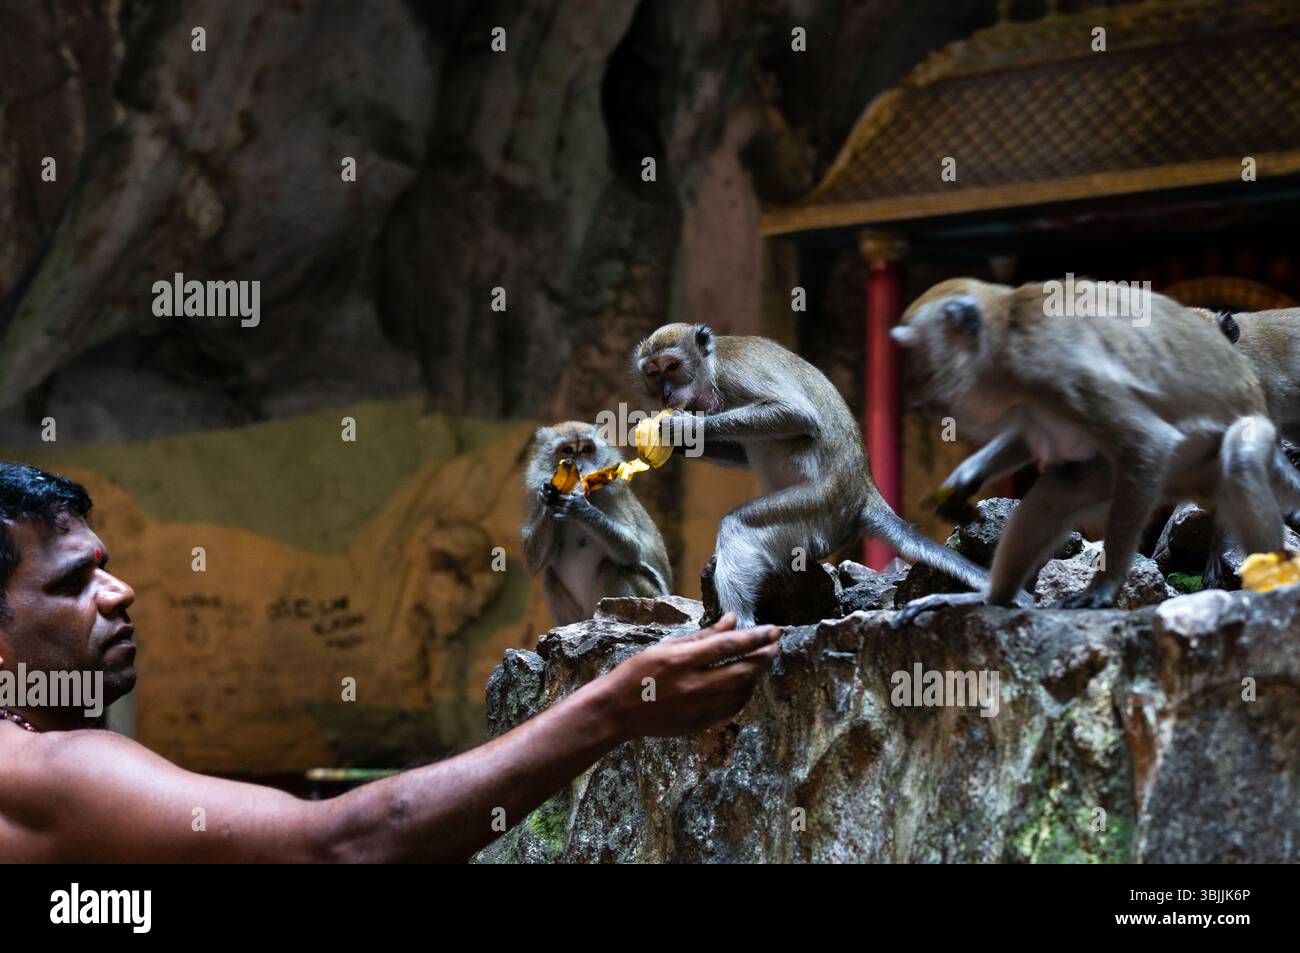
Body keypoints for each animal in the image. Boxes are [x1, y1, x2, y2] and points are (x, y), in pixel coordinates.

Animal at [521, 421, 672, 626]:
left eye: (586, 449)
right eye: (568, 450)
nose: (579, 466)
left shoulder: (613, 492)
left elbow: (632, 549)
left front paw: (580, 509)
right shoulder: (535, 493)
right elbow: (533, 560)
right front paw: (550, 498)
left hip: (651, 598)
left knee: (613, 568)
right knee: (550, 576)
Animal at [633, 323, 995, 629]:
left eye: (671, 367)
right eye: (653, 374)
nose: (665, 394)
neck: (710, 368)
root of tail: (863, 491)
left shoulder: (735, 373)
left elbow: (796, 415)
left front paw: (681, 427)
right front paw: (679, 443)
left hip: (819, 510)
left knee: (740, 524)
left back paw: (739, 626)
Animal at [888, 277, 1300, 623]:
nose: (913, 391)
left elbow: (1149, 440)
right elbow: (1027, 433)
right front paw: (964, 478)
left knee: (1239, 459)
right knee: (1061, 489)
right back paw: (991, 597)